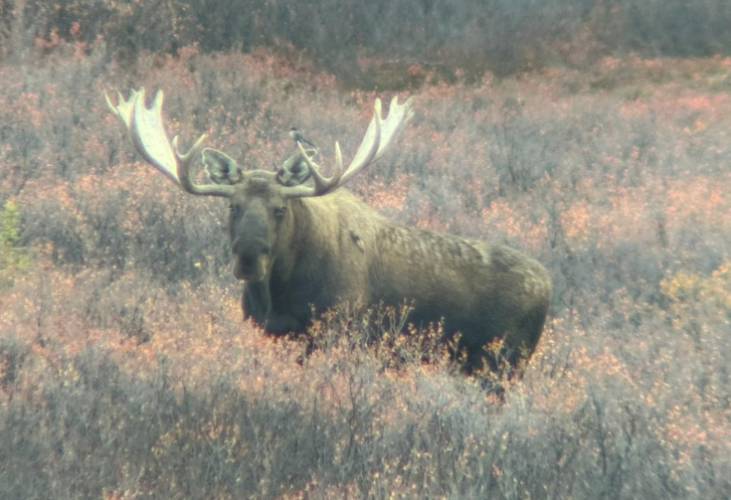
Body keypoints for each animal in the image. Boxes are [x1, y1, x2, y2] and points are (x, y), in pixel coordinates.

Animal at [106, 88, 551, 373]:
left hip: (504, 362)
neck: (279, 296)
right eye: (232, 206)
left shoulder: (336, 334)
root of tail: (549, 284)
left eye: (280, 208)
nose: (248, 258)